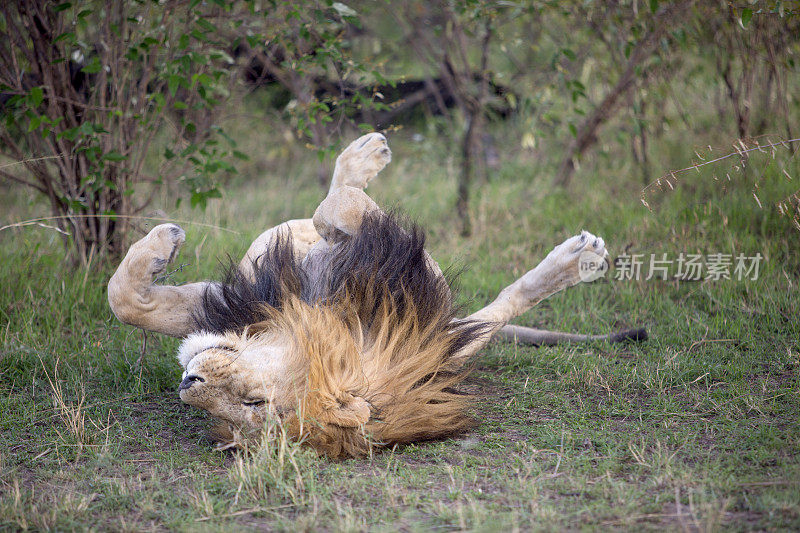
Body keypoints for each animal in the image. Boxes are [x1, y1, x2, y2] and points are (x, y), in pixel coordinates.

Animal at [108, 132, 612, 458]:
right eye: (238, 417)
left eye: (253, 404)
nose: (187, 384)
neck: (320, 310)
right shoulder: (243, 292)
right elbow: (127, 301)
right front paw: (162, 244)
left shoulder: (404, 272)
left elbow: (345, 208)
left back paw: (577, 261)